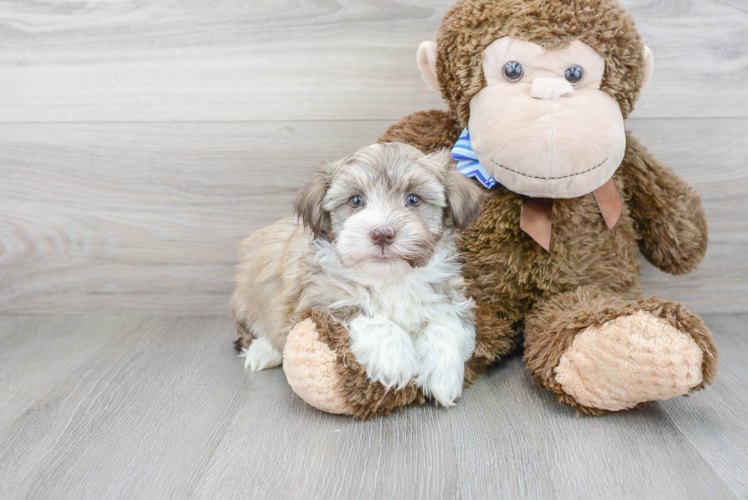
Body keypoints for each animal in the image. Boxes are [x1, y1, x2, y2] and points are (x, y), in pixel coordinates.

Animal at [232, 142, 486, 406]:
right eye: (356, 200)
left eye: (413, 199)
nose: (382, 233)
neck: (389, 278)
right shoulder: (317, 300)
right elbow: (365, 314)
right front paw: (394, 358)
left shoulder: (448, 291)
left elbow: (447, 320)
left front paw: (443, 373)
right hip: (247, 294)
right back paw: (262, 351)